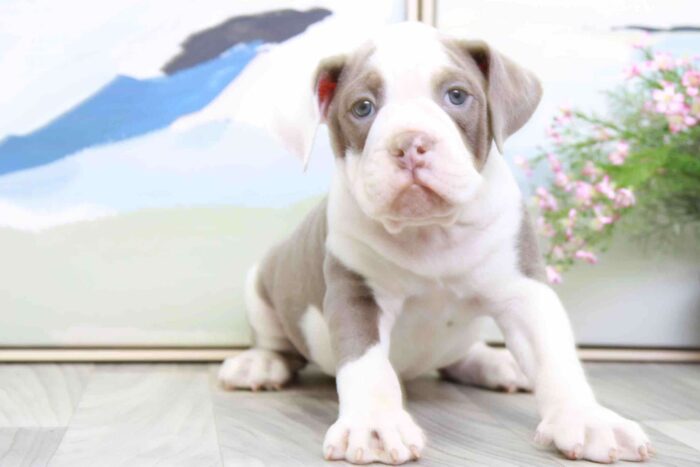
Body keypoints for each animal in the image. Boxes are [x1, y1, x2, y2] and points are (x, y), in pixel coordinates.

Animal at [217, 21, 652, 464]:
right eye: (363, 108)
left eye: (456, 96)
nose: (410, 143)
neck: (431, 231)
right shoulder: (356, 294)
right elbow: (366, 365)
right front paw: (374, 425)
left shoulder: (524, 290)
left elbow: (554, 356)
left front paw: (587, 418)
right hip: (260, 283)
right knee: (277, 343)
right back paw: (259, 365)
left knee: (460, 356)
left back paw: (497, 363)